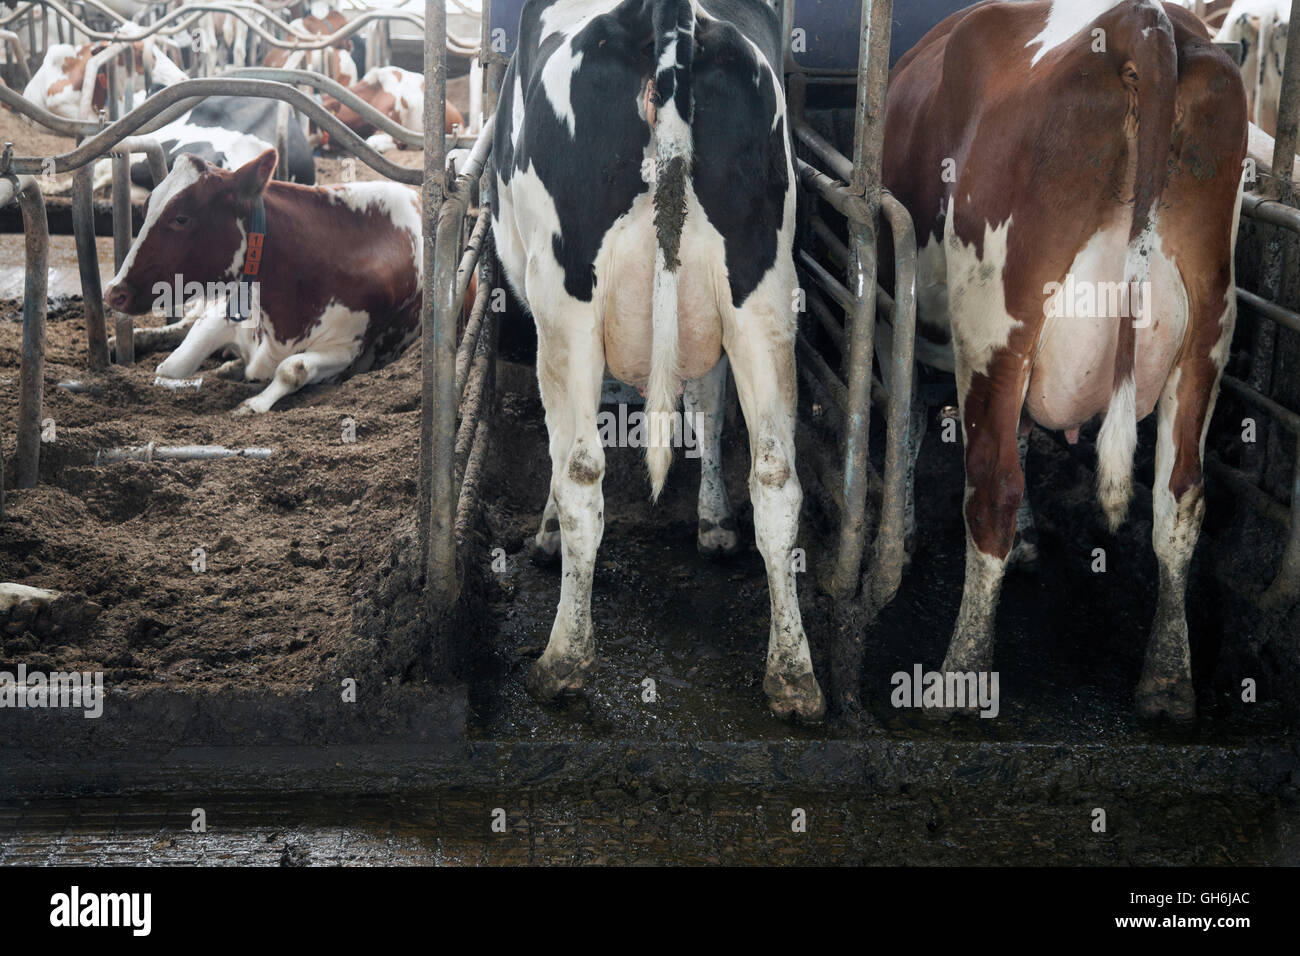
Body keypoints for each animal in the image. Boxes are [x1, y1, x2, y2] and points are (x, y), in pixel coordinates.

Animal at [105, 150, 423, 416]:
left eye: (181, 218)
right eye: (145, 208)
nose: (113, 292)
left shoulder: (347, 349)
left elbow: (293, 368)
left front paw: (251, 403)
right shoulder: (223, 314)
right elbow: (172, 365)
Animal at [491, 0, 816, 717]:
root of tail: (667, 16)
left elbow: (564, 456)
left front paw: (545, 534)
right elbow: (708, 404)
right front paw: (715, 523)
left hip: (566, 302)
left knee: (582, 473)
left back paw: (561, 662)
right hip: (763, 290)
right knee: (777, 475)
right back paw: (792, 673)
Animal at [883, 0, 1248, 717]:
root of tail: (1148, 24)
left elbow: (909, 424)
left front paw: (907, 537)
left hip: (996, 325)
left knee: (990, 488)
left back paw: (959, 677)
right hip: (1208, 331)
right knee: (1181, 498)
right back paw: (1167, 681)